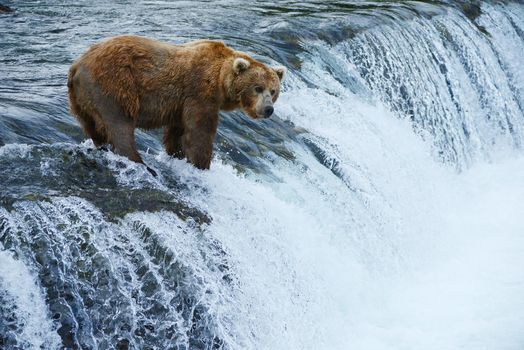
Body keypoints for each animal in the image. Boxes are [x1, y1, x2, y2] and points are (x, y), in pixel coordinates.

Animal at [67, 35, 286, 171]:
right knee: (119, 125)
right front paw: (201, 163)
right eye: (258, 88)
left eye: (273, 91)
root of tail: (77, 65)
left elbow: (177, 133)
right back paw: (141, 163)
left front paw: (178, 155)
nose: (268, 109)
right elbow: (199, 132)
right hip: (114, 85)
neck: (220, 81)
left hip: (80, 100)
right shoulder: (199, 93)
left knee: (92, 126)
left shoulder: (181, 105)